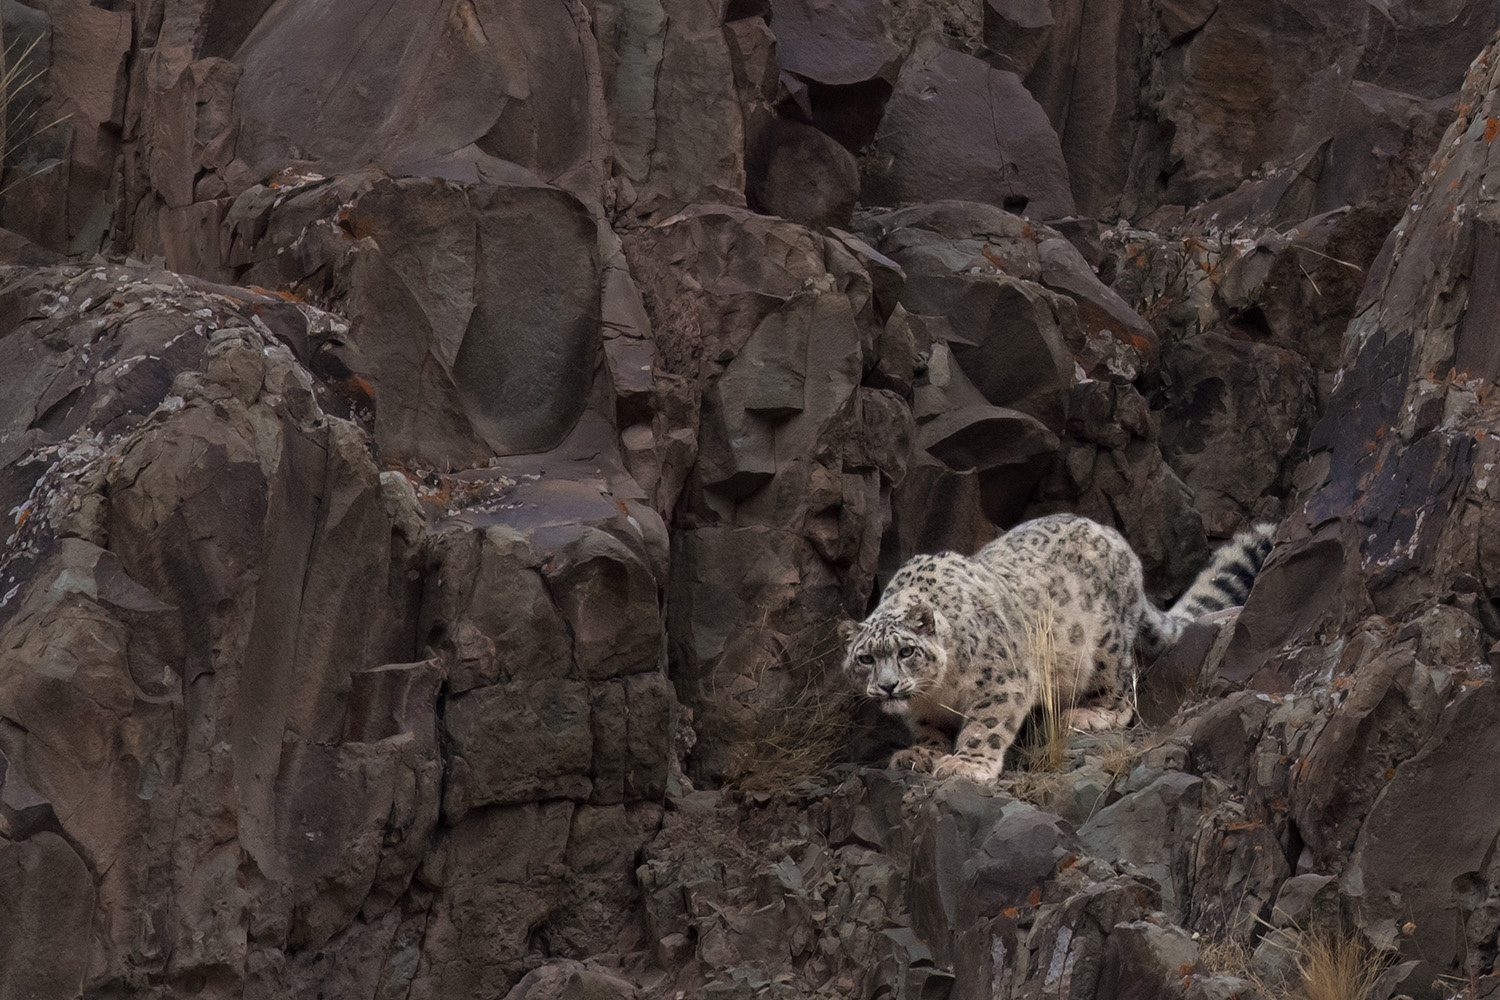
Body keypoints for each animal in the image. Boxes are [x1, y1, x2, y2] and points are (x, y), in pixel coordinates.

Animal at [839, 513, 1274, 782]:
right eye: (865, 658)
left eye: (906, 651)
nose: (888, 686)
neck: (938, 691)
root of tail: (1116, 539)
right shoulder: (924, 710)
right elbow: (930, 730)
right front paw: (920, 753)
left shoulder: (1002, 680)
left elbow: (986, 725)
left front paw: (966, 765)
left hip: (1104, 647)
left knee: (1122, 688)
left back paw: (1088, 714)